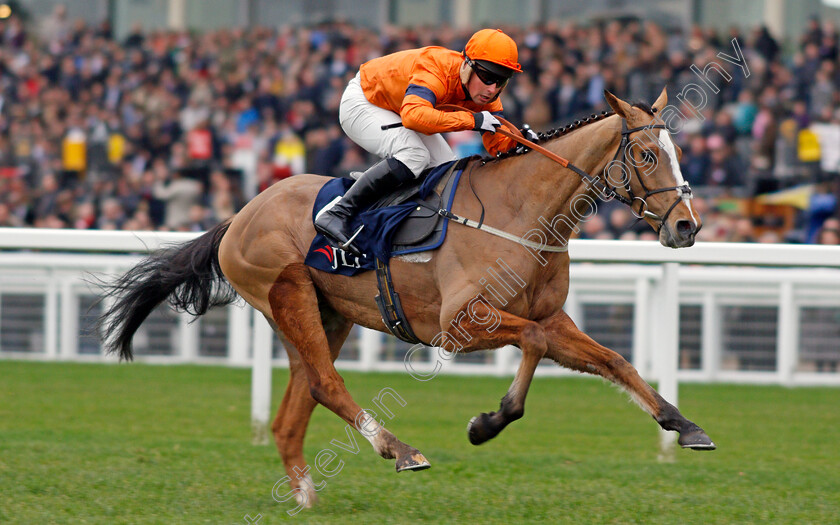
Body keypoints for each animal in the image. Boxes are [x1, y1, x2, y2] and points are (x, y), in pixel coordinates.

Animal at [98, 90, 716, 508]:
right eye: (646, 156)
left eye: (678, 151)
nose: (687, 226)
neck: (523, 212)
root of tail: (241, 214)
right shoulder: (458, 323)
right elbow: (535, 344)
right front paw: (488, 422)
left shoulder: (548, 315)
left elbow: (614, 361)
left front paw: (684, 424)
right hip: (287, 294)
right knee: (326, 384)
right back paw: (400, 450)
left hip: (328, 314)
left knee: (299, 402)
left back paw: (306, 497)